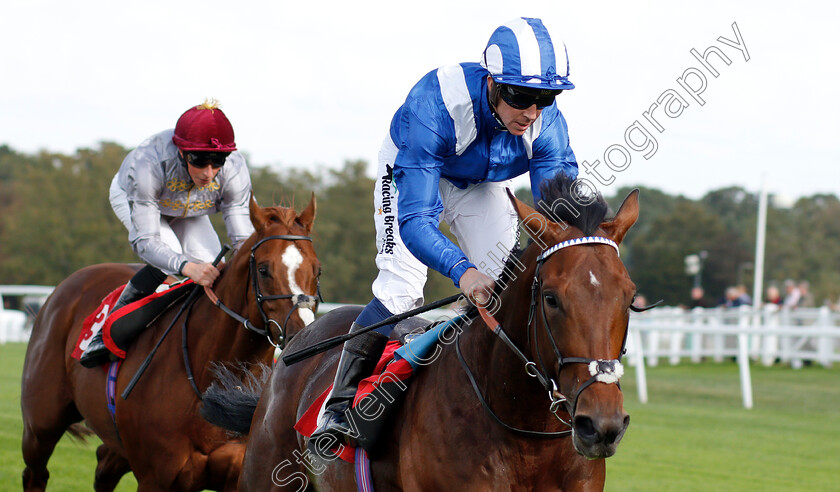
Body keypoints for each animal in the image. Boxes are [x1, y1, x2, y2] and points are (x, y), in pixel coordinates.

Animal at [20, 196, 322, 492]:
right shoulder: (156, 478)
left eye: (317, 270)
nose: (302, 332)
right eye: (263, 269)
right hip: (41, 424)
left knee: (103, 467)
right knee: (35, 474)